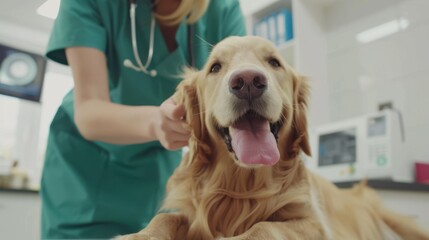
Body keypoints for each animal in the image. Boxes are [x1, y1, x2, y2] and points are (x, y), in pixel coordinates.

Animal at [118, 36, 428, 240]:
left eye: (274, 62)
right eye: (215, 67)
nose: (247, 82)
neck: (242, 188)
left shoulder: (312, 223)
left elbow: (264, 226)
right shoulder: (192, 214)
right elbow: (165, 218)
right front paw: (139, 235)